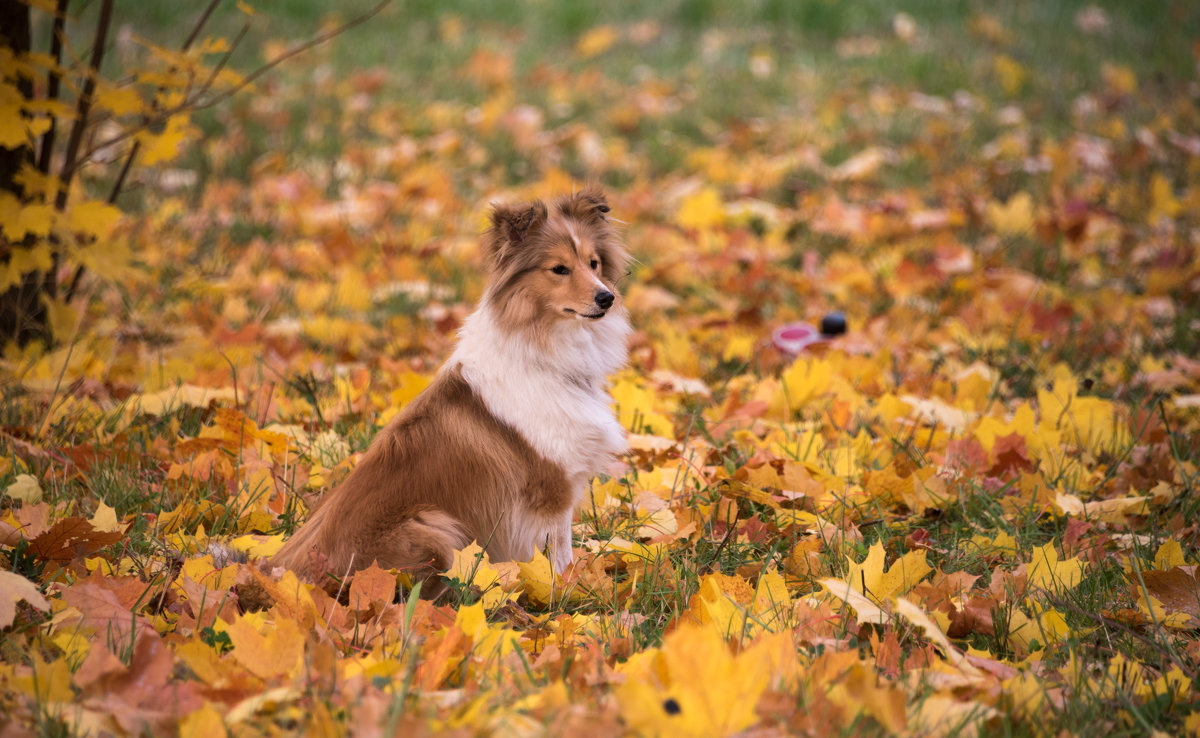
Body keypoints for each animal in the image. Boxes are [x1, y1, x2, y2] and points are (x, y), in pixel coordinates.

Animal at [268, 187, 633, 592]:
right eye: (559, 269)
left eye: (594, 263)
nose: (606, 298)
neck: (543, 351)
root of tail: (288, 577)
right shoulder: (551, 491)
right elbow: (558, 554)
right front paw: (566, 591)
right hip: (434, 526)